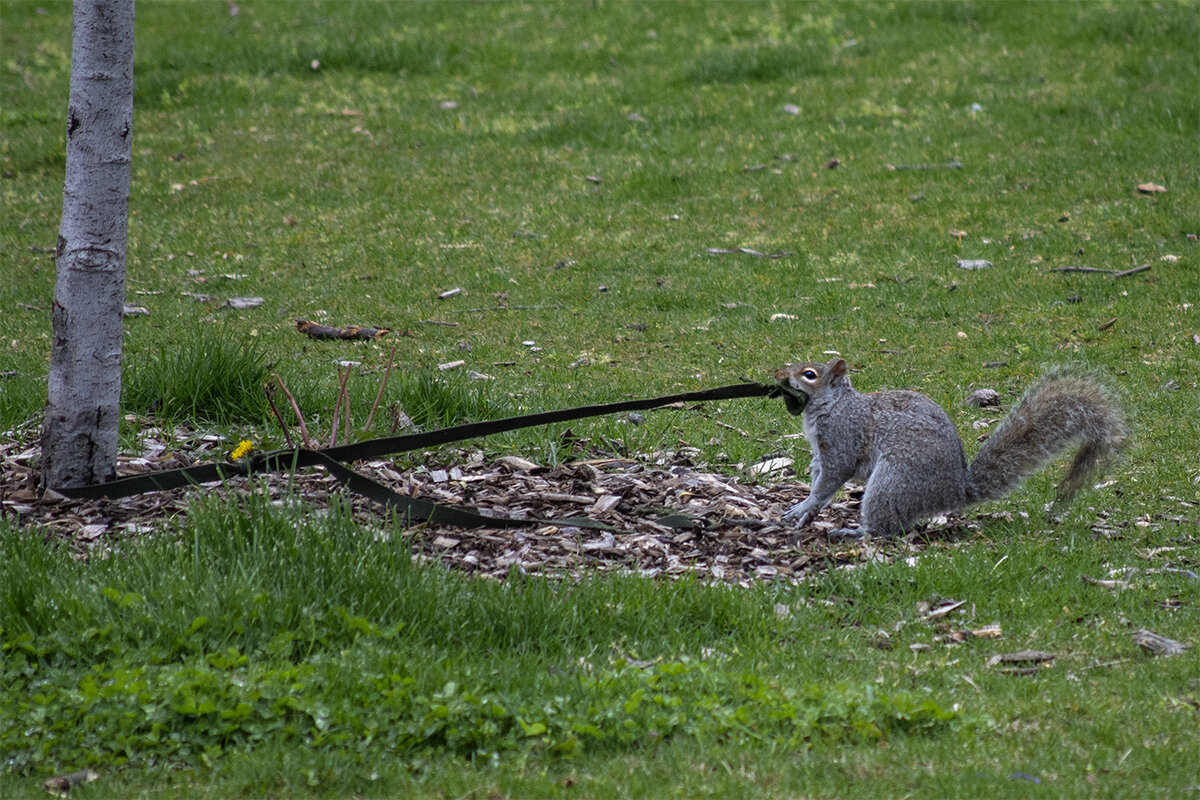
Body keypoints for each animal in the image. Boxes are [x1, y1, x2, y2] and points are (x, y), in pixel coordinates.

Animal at [772, 362, 1128, 537]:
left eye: (809, 374)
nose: (776, 374)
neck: (832, 406)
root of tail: (956, 490)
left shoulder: (842, 440)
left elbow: (831, 479)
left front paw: (807, 506)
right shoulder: (820, 451)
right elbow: (818, 480)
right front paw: (804, 509)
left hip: (892, 482)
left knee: (887, 530)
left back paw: (854, 533)